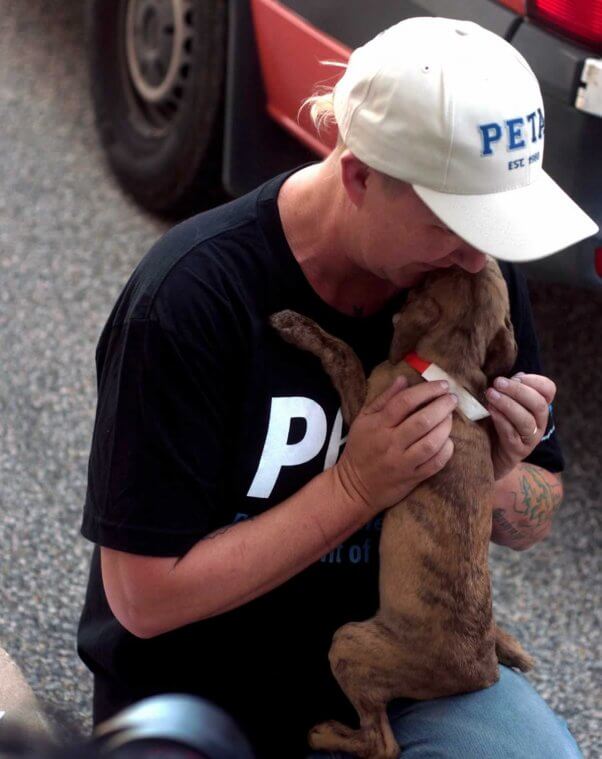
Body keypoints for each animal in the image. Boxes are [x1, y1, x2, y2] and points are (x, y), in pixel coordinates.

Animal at [270, 256, 532, 759]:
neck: (451, 370)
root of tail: (481, 672)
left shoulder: (366, 409)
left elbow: (343, 353)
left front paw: (298, 327)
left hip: (351, 641)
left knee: (382, 744)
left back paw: (326, 734)